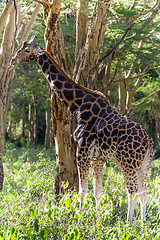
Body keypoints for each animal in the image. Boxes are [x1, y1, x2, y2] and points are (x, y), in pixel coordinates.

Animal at [11, 35, 158, 223]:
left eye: (27, 50)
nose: (13, 60)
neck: (77, 106)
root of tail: (149, 142)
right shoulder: (98, 158)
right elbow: (98, 192)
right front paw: (97, 220)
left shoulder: (82, 150)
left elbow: (82, 190)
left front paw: (79, 220)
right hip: (144, 164)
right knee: (144, 192)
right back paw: (142, 224)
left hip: (128, 163)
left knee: (132, 192)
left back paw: (129, 224)